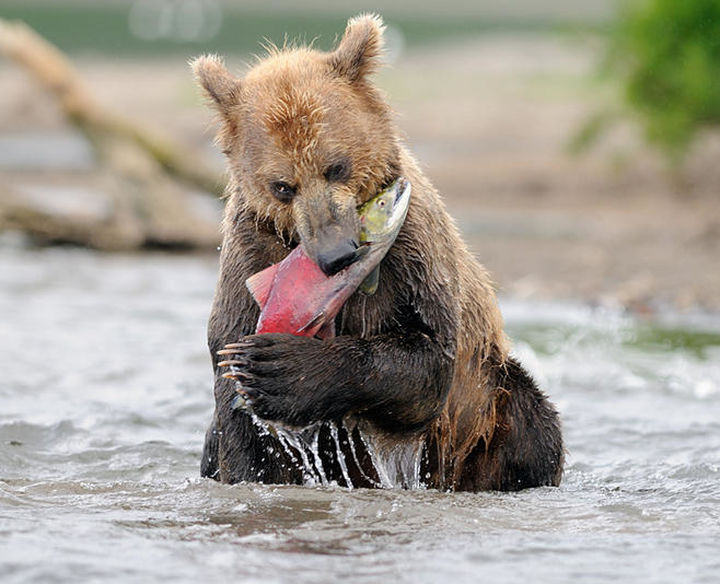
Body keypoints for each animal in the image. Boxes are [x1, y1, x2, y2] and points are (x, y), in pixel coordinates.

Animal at [193, 13, 564, 490]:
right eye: (282, 186)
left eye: (336, 166)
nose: (336, 255)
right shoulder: (252, 250)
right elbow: (238, 408)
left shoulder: (413, 253)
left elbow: (426, 355)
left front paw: (281, 369)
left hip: (487, 397)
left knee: (533, 425)